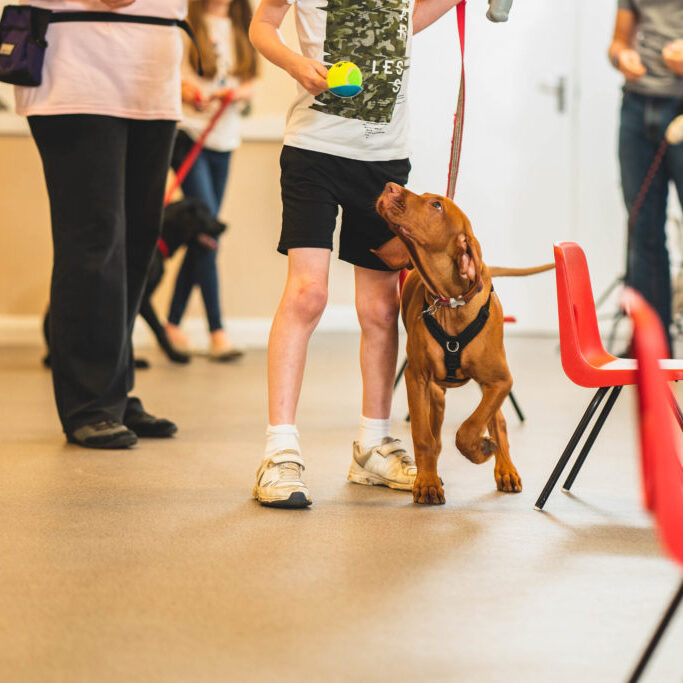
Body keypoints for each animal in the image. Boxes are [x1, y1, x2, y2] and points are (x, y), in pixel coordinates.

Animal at [44, 199, 227, 368]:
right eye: (206, 214)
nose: (226, 225)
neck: (160, 241)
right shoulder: (143, 299)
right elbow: (159, 329)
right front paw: (176, 356)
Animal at [374, 184, 556, 504]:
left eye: (436, 205)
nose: (389, 187)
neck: (451, 304)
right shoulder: (416, 377)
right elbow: (424, 437)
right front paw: (427, 482)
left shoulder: (501, 380)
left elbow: (469, 430)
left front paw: (481, 450)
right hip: (436, 391)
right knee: (436, 430)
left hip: (491, 384)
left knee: (499, 423)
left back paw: (506, 469)